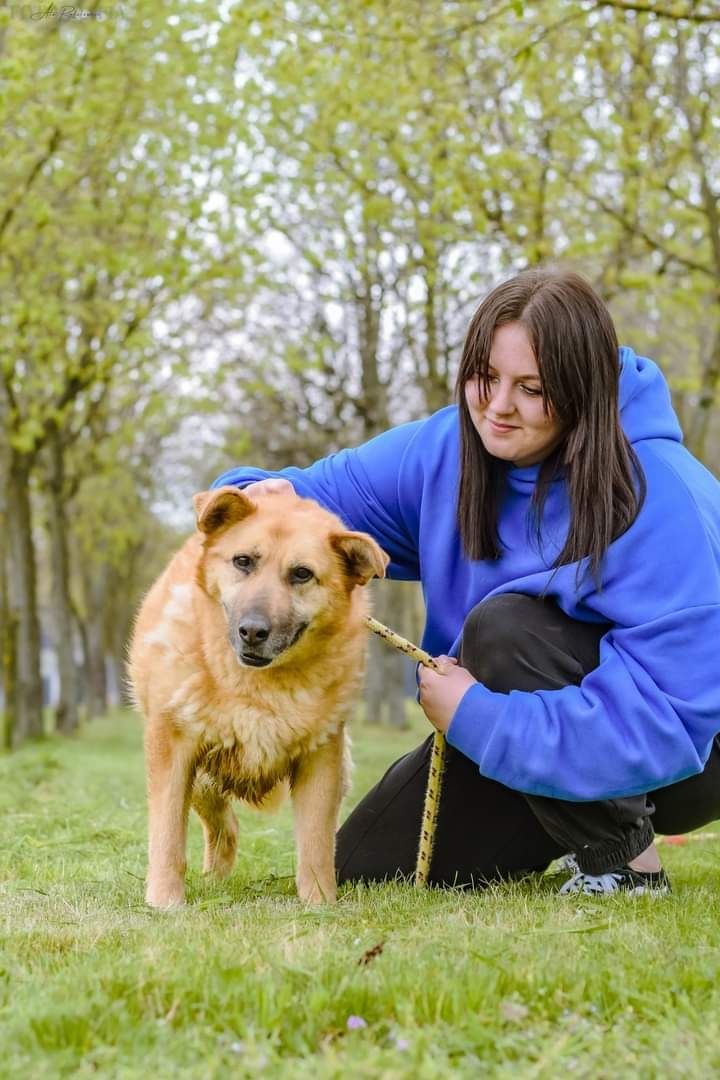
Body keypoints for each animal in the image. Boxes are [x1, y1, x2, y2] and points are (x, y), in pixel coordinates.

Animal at [129, 486, 388, 907]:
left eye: (302, 574)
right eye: (243, 561)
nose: (252, 631)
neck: (258, 686)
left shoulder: (321, 757)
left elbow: (316, 844)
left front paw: (319, 904)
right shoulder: (173, 749)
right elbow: (168, 837)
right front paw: (164, 902)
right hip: (199, 776)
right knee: (223, 825)